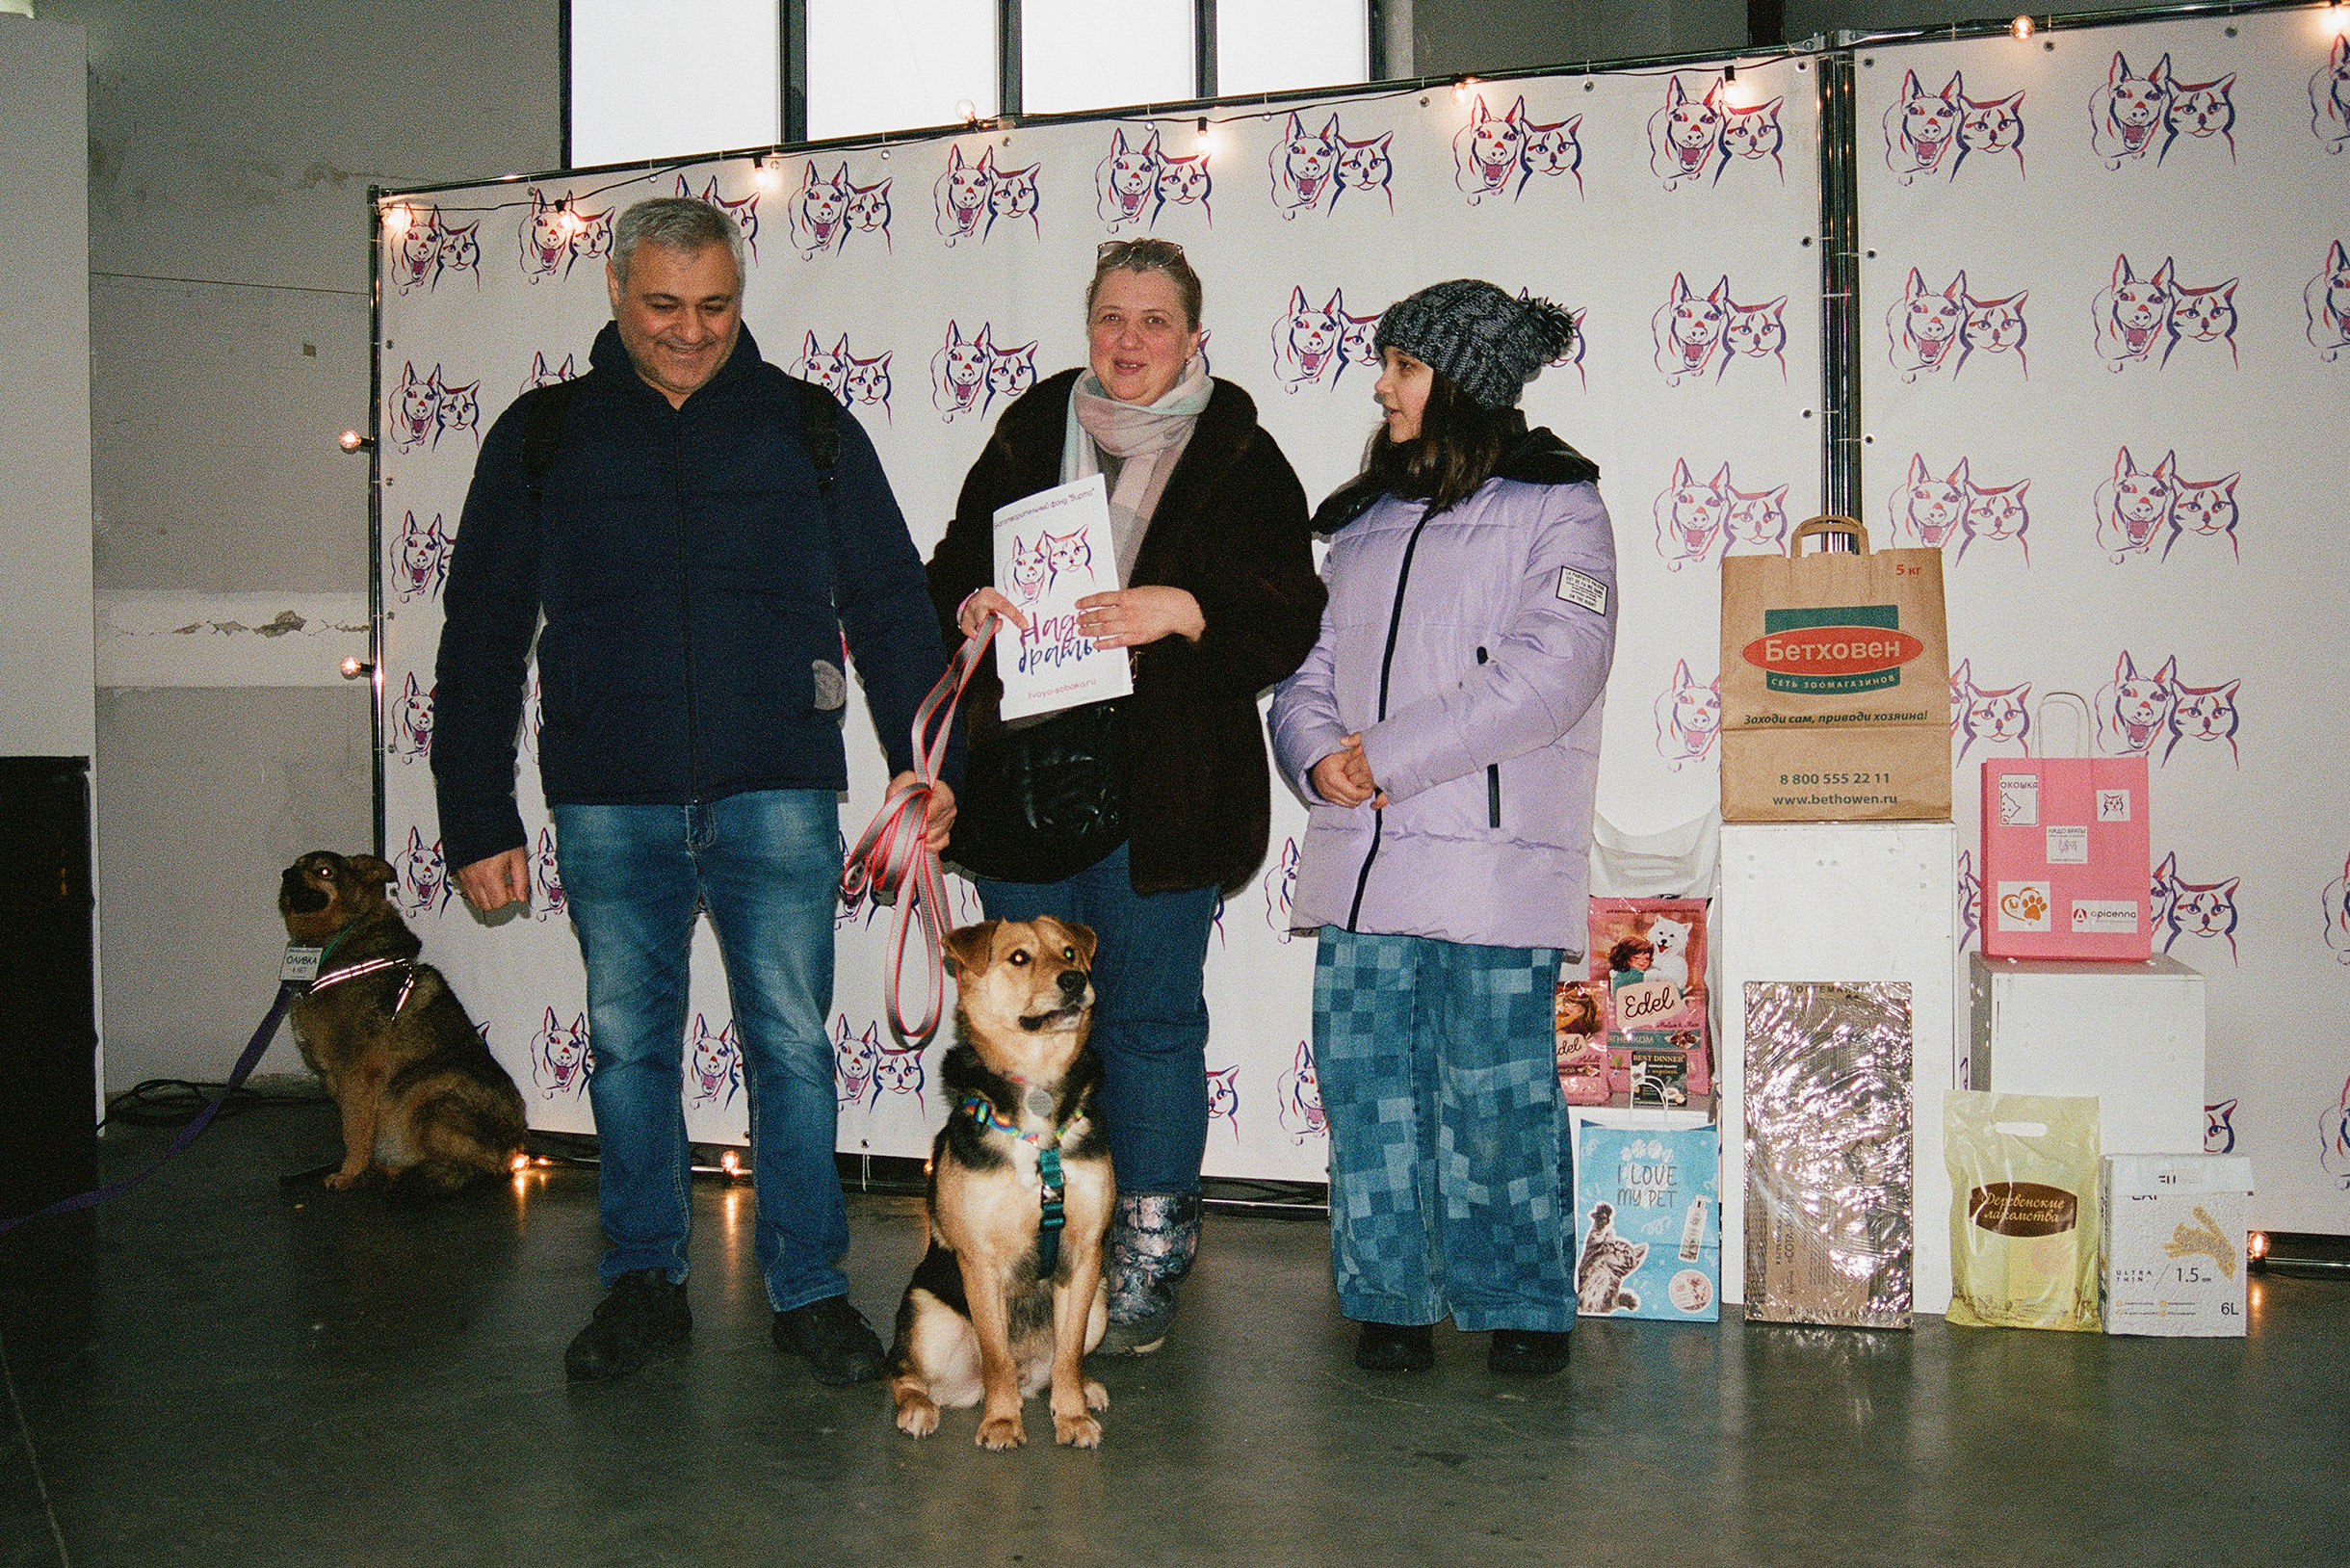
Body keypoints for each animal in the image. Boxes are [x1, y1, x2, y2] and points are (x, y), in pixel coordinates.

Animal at [276, 850, 526, 1193]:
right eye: (295, 866)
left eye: (324, 871)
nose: (286, 875)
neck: (340, 935)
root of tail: (516, 1148)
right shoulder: (337, 1081)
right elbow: (356, 1131)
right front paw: (357, 1168)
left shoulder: (357, 1077)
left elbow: (354, 1131)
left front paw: (348, 1173)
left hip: (425, 1096)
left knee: (485, 1167)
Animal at [883, 912, 1113, 1457]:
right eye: (1019, 957)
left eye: (1070, 952)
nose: (1075, 981)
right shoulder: (980, 1261)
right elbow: (997, 1356)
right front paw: (1003, 1421)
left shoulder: (1085, 1254)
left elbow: (1068, 1354)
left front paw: (1071, 1414)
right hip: (926, 1314)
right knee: (903, 1374)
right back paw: (919, 1409)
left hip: (1101, 1299)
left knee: (1058, 1365)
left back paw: (1082, 1389)